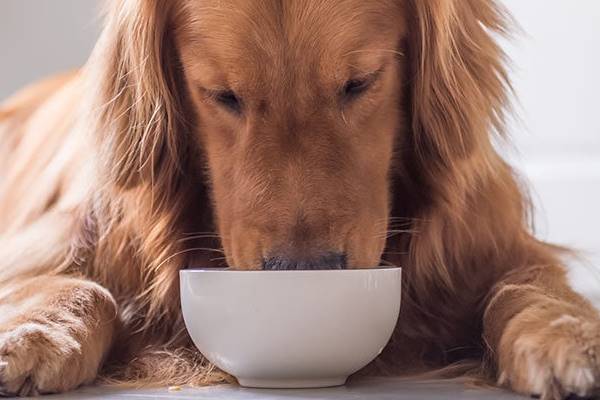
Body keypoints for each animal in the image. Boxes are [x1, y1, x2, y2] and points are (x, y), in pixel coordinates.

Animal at [1, 0, 600, 398]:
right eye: (223, 95)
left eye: (360, 82)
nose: (303, 271)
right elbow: (76, 287)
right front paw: (33, 335)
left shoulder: (496, 244)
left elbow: (528, 286)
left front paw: (567, 337)